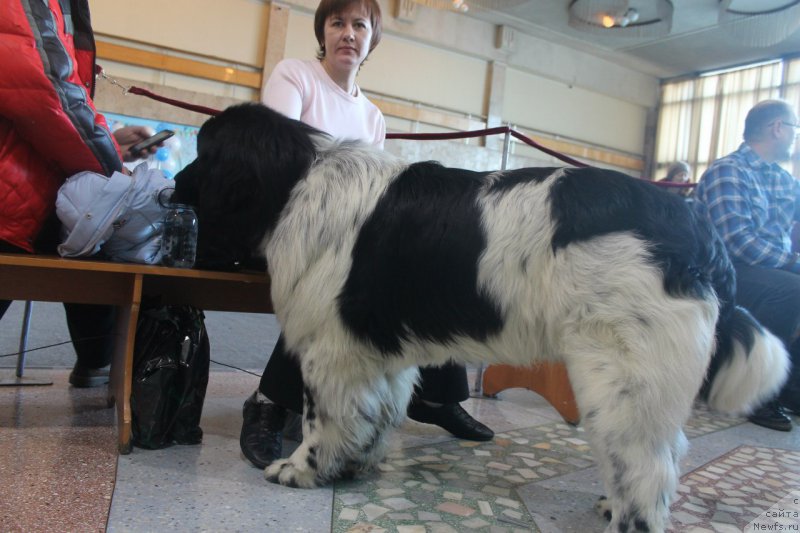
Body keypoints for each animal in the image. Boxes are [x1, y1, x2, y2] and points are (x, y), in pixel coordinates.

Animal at [173, 104, 788, 532]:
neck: (301, 178)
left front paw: (303, 469)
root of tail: (699, 231)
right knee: (657, 455)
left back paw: (626, 514)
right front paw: (355, 467)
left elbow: (323, 421)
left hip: (620, 376)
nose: (173, 183)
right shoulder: (375, 351)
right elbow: (373, 416)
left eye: (204, 149)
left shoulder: (331, 347)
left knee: (648, 467)